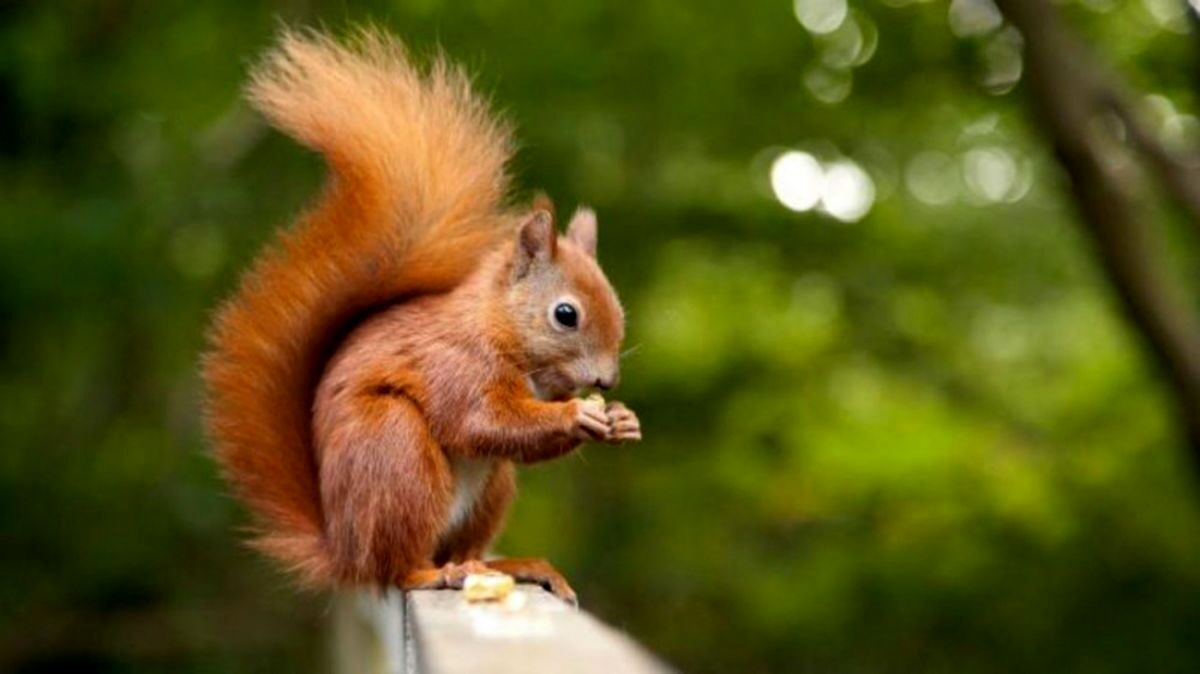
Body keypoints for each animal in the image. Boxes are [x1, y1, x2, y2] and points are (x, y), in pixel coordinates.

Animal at [201, 28, 643, 599]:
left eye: (617, 307)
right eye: (565, 314)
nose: (607, 381)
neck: (497, 327)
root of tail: (344, 551)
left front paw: (622, 419)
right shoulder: (455, 365)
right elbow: (484, 421)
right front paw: (577, 414)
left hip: (490, 489)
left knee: (460, 543)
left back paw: (510, 565)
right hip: (397, 452)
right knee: (398, 567)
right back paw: (437, 573)